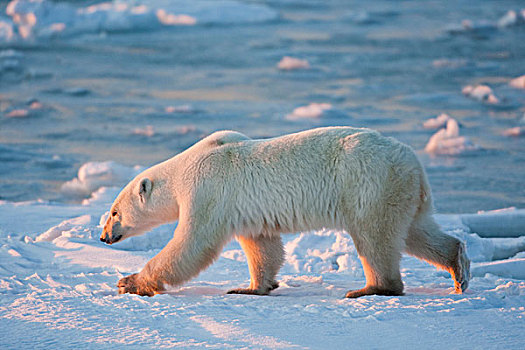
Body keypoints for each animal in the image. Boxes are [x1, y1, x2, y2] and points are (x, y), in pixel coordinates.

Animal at [100, 127, 468, 296]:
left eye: (114, 213)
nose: (103, 236)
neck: (183, 171)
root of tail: (414, 162)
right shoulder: (242, 208)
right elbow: (262, 245)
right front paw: (252, 287)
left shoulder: (208, 190)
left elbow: (192, 244)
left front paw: (128, 281)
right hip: (401, 191)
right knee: (415, 231)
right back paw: (458, 267)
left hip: (369, 183)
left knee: (374, 237)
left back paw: (370, 288)